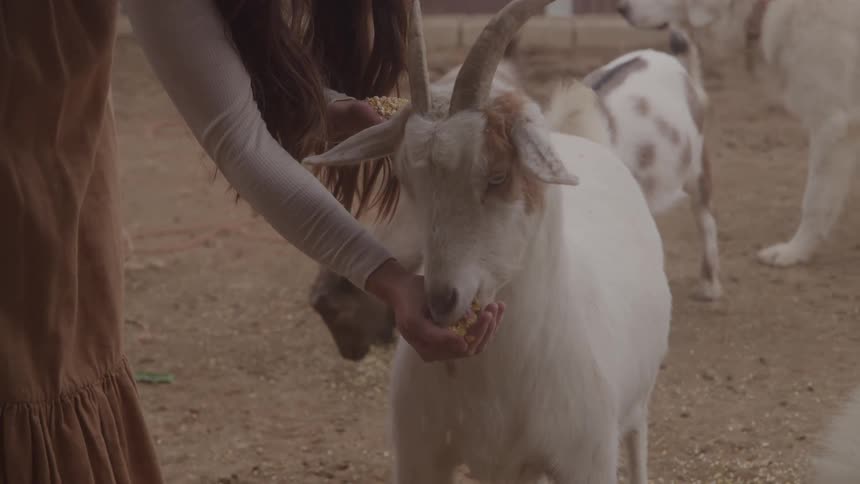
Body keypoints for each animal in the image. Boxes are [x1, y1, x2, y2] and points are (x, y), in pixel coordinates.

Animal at [302, 0, 672, 482]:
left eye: (497, 176)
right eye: (407, 181)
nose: (442, 301)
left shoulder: (586, 460)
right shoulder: (420, 453)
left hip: (635, 406)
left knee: (638, 439)